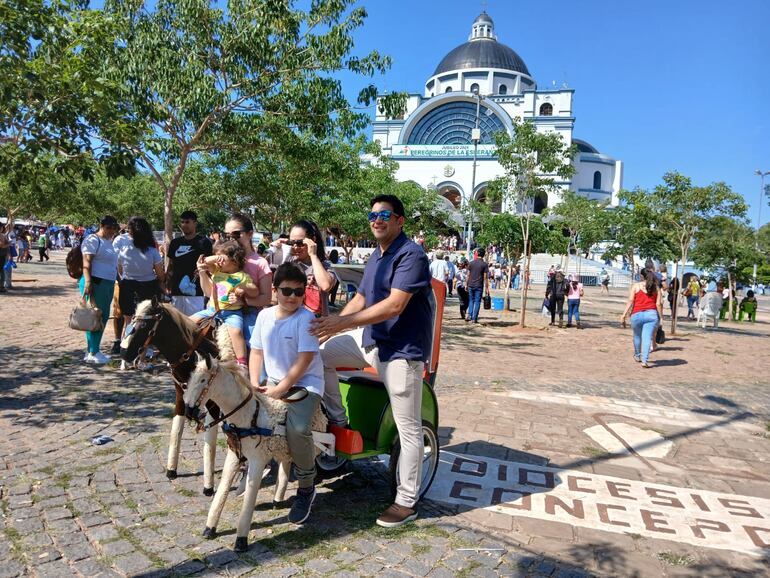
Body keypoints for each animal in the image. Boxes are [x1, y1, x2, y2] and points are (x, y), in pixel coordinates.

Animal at [186, 352, 330, 548]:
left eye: (202, 380)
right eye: (191, 378)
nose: (188, 411)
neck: (248, 417)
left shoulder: (257, 460)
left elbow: (250, 494)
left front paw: (241, 540)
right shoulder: (234, 455)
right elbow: (222, 489)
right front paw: (210, 528)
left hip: (307, 443)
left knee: (306, 468)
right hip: (283, 446)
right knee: (285, 465)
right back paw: (277, 499)